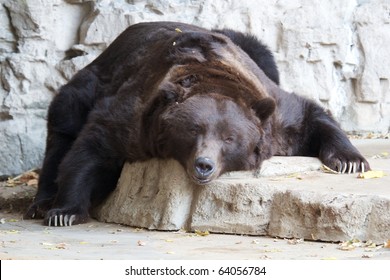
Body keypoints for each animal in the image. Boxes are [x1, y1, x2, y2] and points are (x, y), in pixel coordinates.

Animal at [25, 22, 370, 228]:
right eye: (193, 130)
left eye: (229, 138)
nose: (204, 164)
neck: (212, 77)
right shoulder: (136, 119)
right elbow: (92, 148)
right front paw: (65, 212)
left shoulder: (274, 114)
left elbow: (309, 116)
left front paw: (351, 160)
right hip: (89, 84)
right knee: (63, 125)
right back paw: (41, 203)